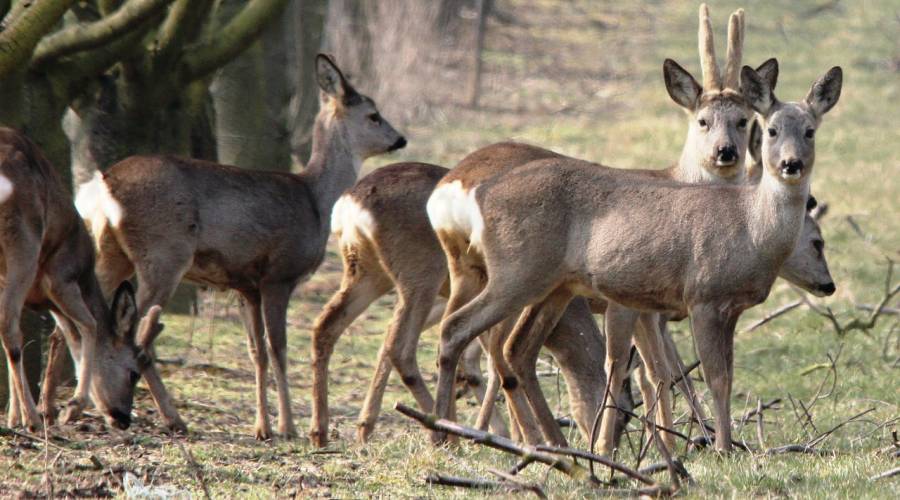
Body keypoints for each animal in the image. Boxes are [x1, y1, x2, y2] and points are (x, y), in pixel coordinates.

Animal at [0, 127, 163, 432]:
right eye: (133, 372)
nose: (124, 419)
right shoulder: (62, 278)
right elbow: (91, 324)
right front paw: (73, 406)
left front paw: (14, 416)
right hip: (25, 242)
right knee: (10, 325)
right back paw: (34, 419)